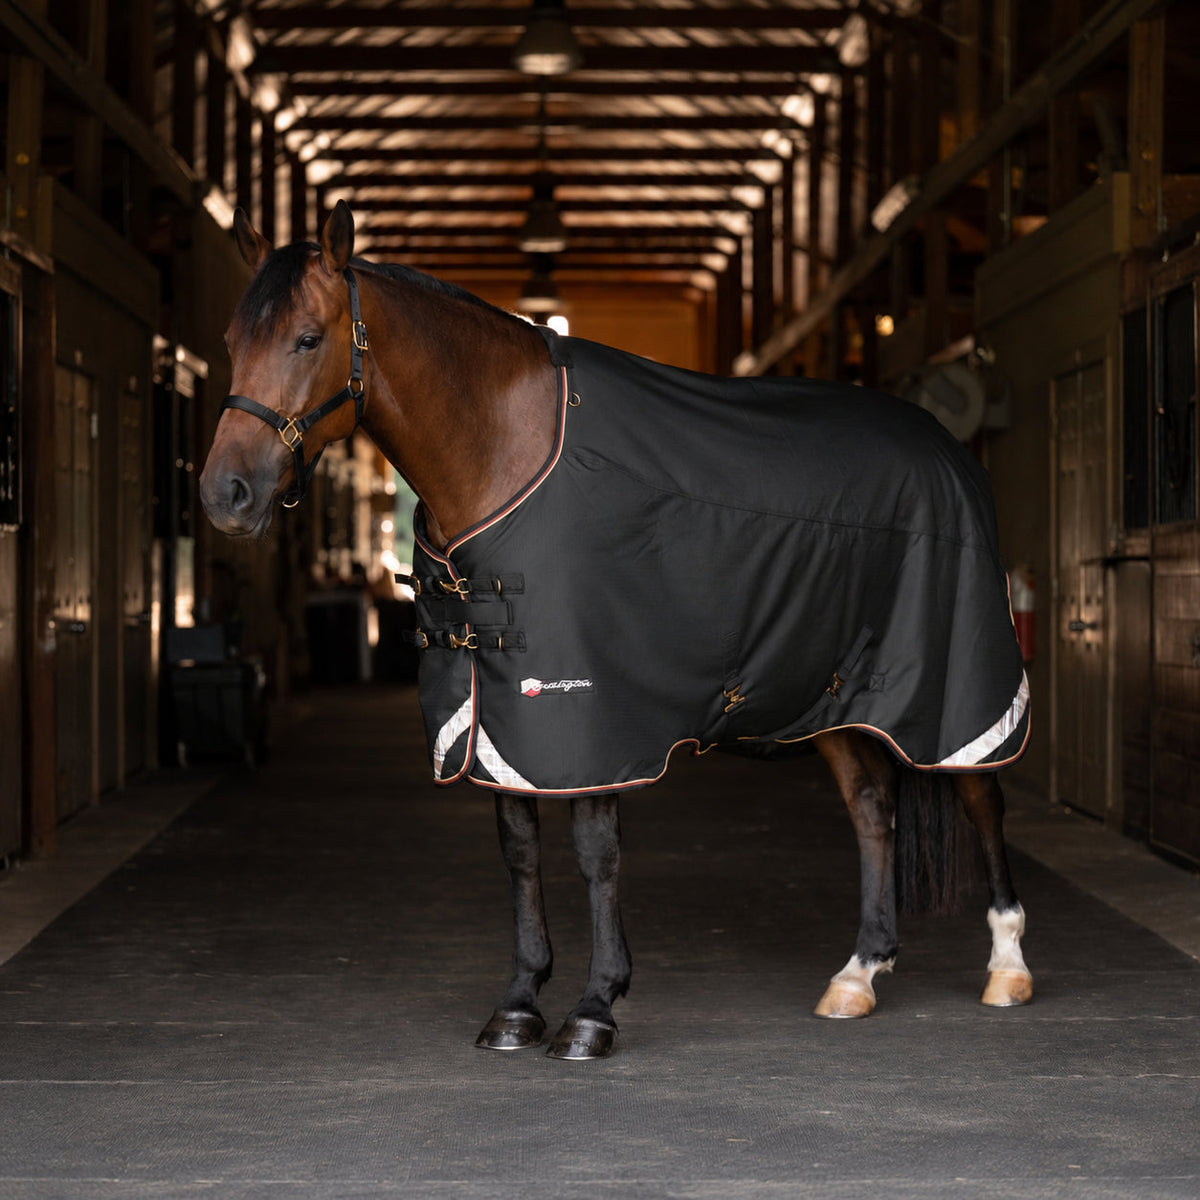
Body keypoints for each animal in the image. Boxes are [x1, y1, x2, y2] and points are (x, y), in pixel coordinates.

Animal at [200, 201, 1033, 1060]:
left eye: (307, 338)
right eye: (231, 340)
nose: (225, 493)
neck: (507, 451)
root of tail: (949, 451)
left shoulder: (588, 711)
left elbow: (596, 852)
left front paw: (595, 1009)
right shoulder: (498, 716)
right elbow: (519, 849)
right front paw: (519, 1002)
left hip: (957, 691)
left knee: (982, 794)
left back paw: (1007, 966)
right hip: (838, 694)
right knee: (872, 806)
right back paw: (858, 974)